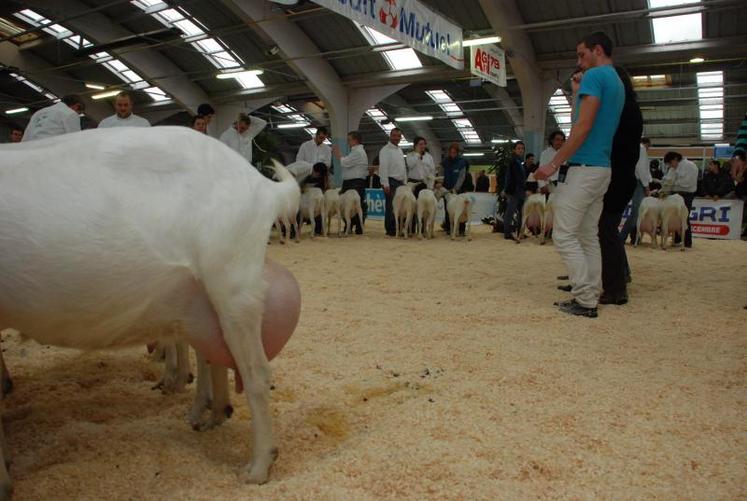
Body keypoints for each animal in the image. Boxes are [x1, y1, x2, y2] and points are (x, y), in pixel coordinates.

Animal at [0, 127, 298, 486]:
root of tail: (262, 186)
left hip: (233, 285)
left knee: (256, 373)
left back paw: (257, 467)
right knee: (215, 355)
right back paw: (210, 415)